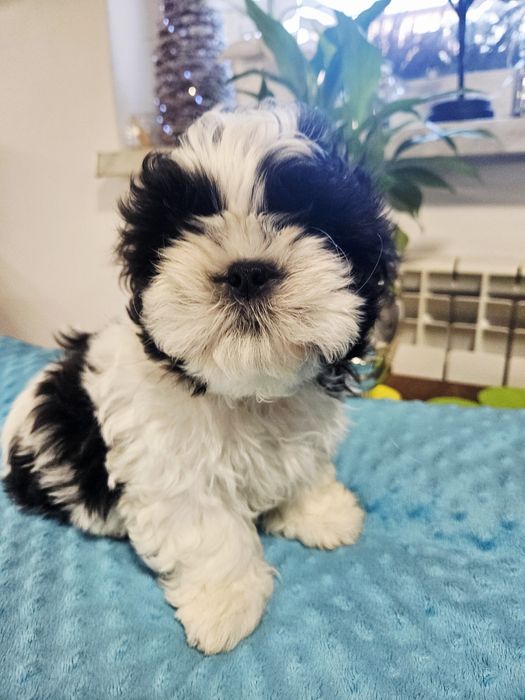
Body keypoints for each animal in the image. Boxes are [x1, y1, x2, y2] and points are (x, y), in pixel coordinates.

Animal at [2, 103, 396, 654]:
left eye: (312, 222)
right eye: (184, 228)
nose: (247, 271)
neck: (247, 394)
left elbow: (308, 469)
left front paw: (323, 513)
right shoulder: (170, 469)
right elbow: (211, 529)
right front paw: (226, 604)